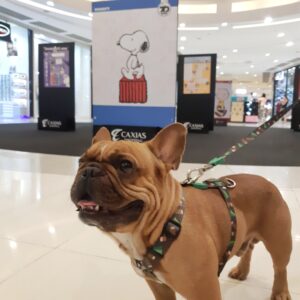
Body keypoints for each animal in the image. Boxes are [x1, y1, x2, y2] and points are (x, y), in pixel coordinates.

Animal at [69, 122, 290, 300]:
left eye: (125, 165)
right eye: (80, 161)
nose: (89, 171)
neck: (165, 227)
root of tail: (266, 181)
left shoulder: (205, 291)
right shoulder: (159, 287)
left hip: (280, 242)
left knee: (280, 268)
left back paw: (280, 292)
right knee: (249, 247)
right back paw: (242, 271)